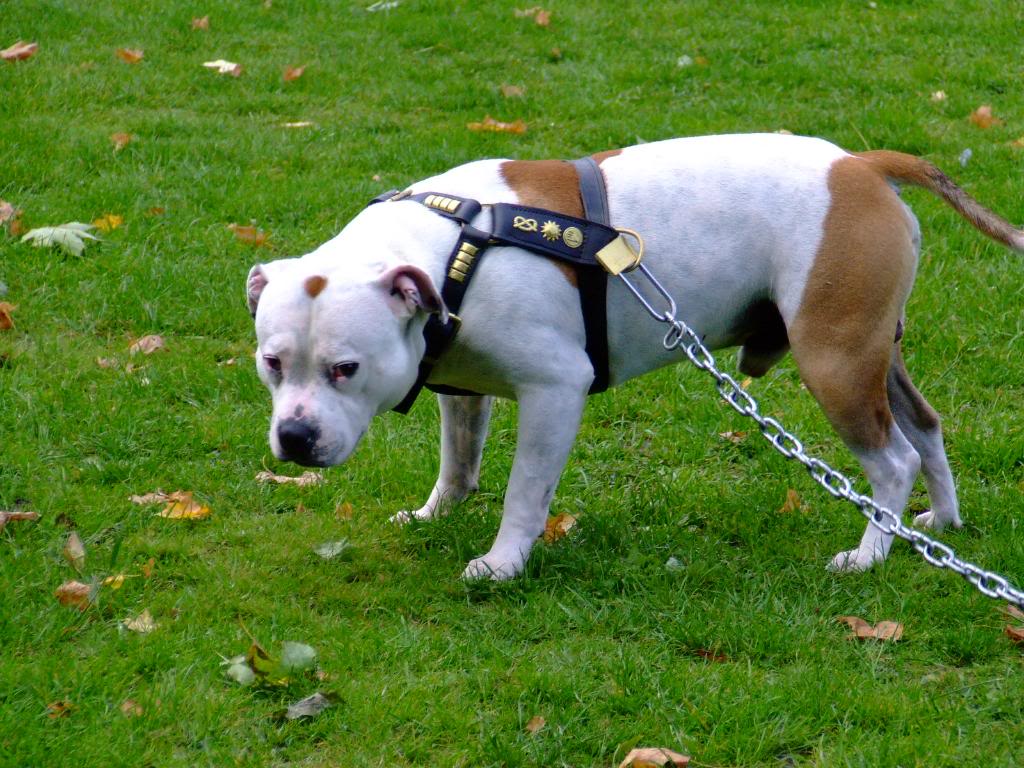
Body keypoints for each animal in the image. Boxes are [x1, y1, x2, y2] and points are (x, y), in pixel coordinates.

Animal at [247, 133, 1023, 580]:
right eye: (271, 364)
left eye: (346, 368)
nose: (296, 437)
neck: (453, 251)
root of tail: (860, 165)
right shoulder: (463, 390)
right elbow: (459, 467)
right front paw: (433, 514)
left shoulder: (555, 389)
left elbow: (526, 492)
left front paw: (503, 561)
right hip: (870, 352)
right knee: (925, 429)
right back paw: (940, 524)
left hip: (833, 361)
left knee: (893, 460)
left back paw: (868, 554)